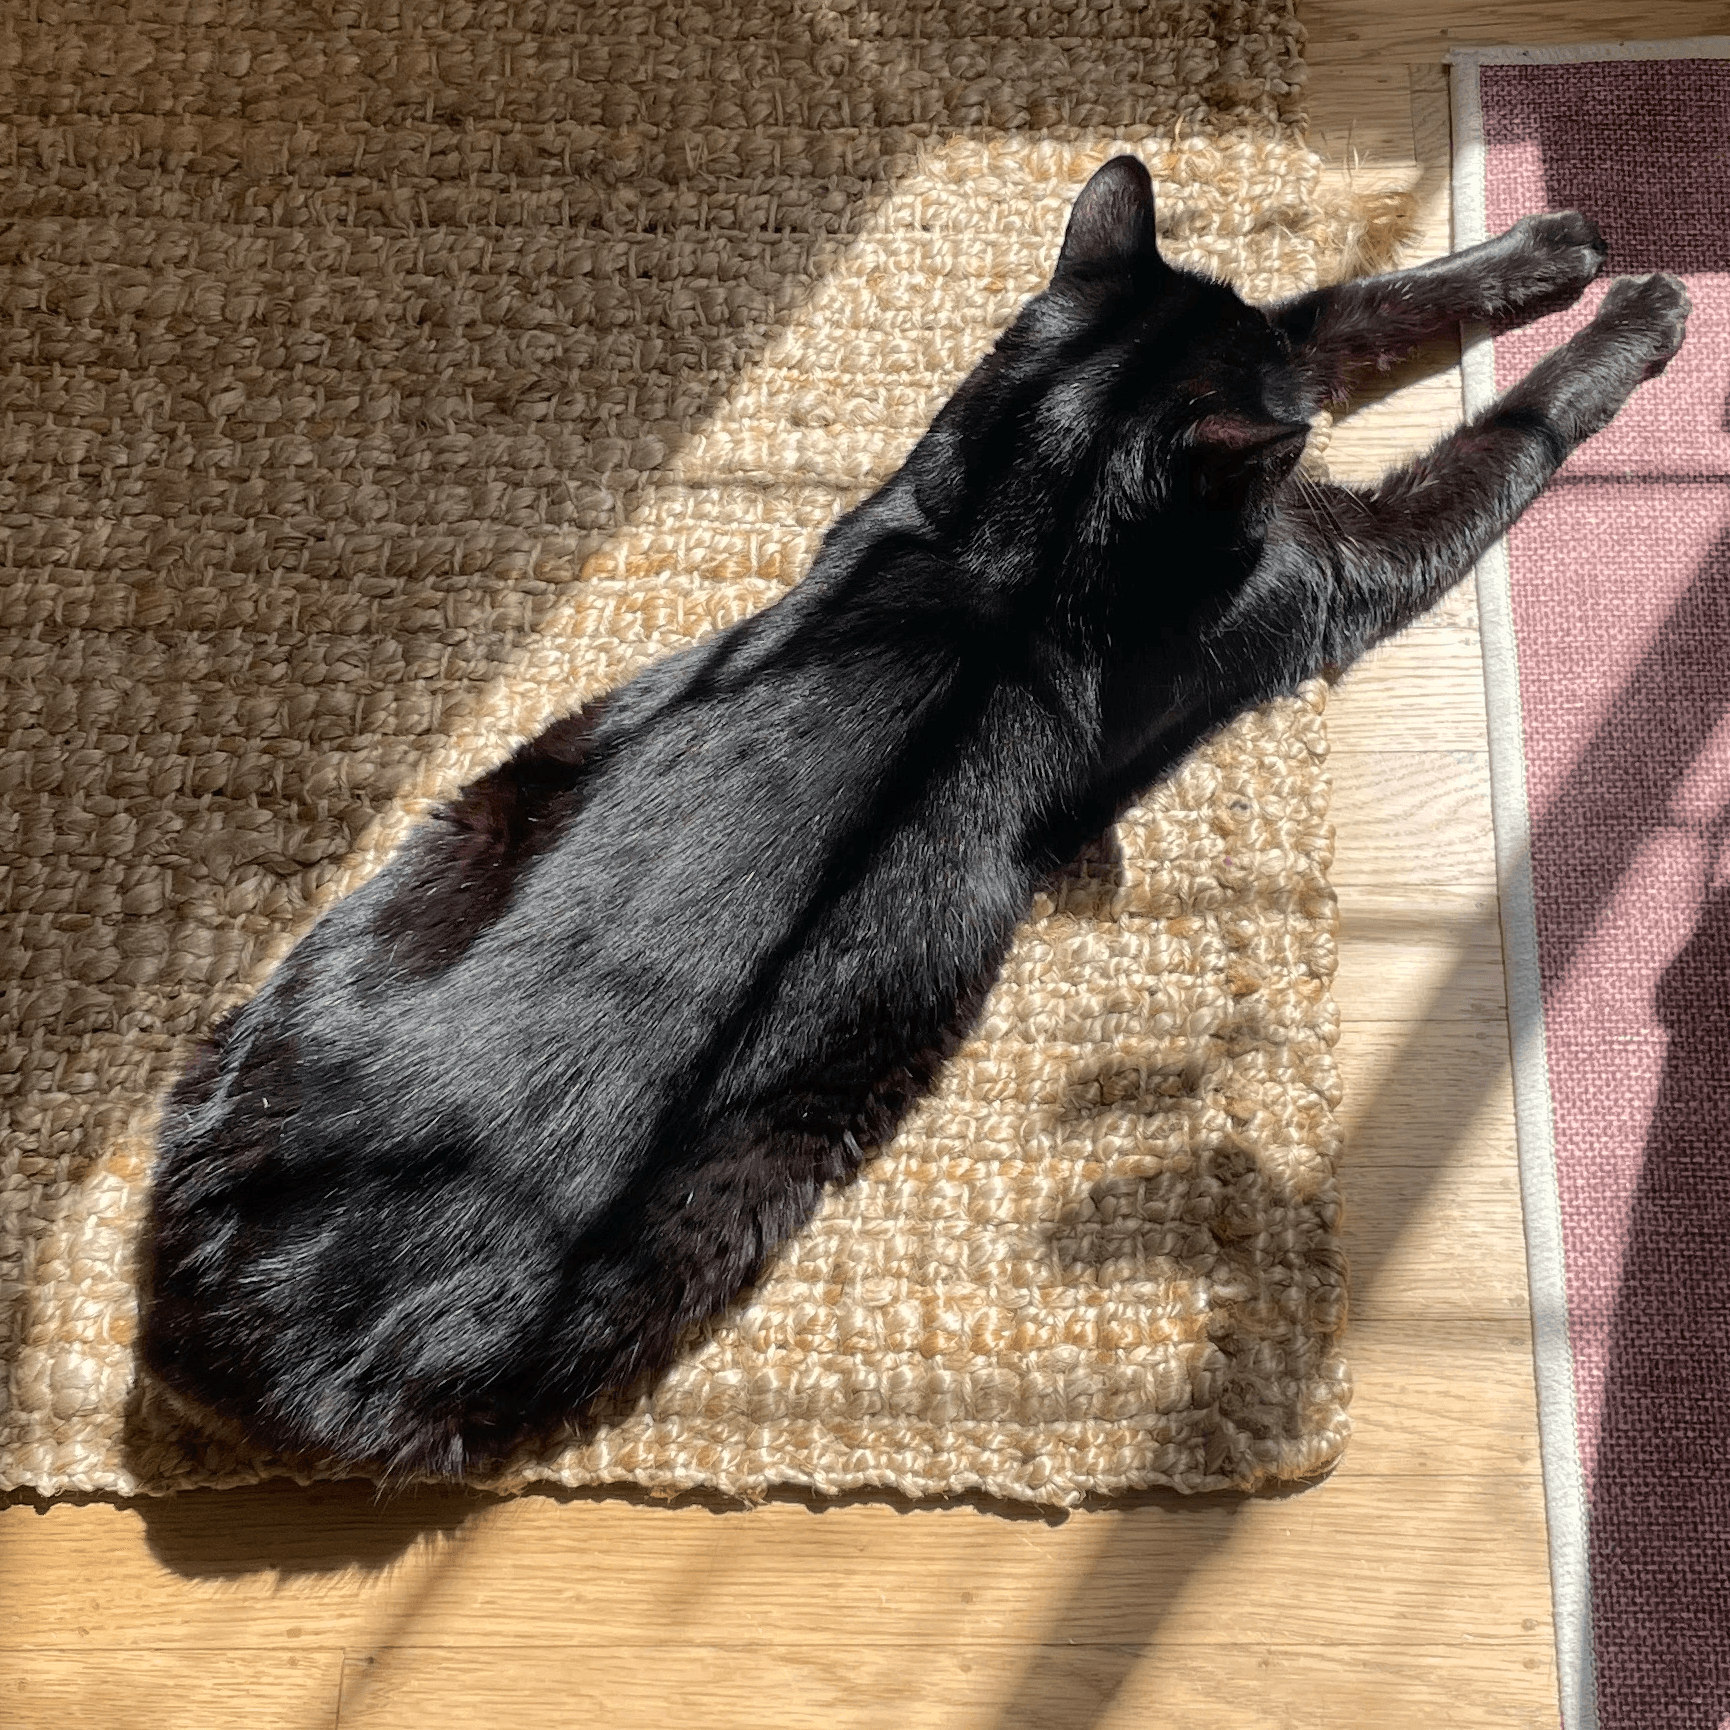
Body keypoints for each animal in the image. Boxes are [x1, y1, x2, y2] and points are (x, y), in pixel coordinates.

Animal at [141, 159, 1695, 1473]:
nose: (1294, 440)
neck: (1008, 532)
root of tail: (212, 1317)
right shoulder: (1334, 566)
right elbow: (1501, 433)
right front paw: (1627, 318)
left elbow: (1346, 305)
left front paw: (1543, 249)